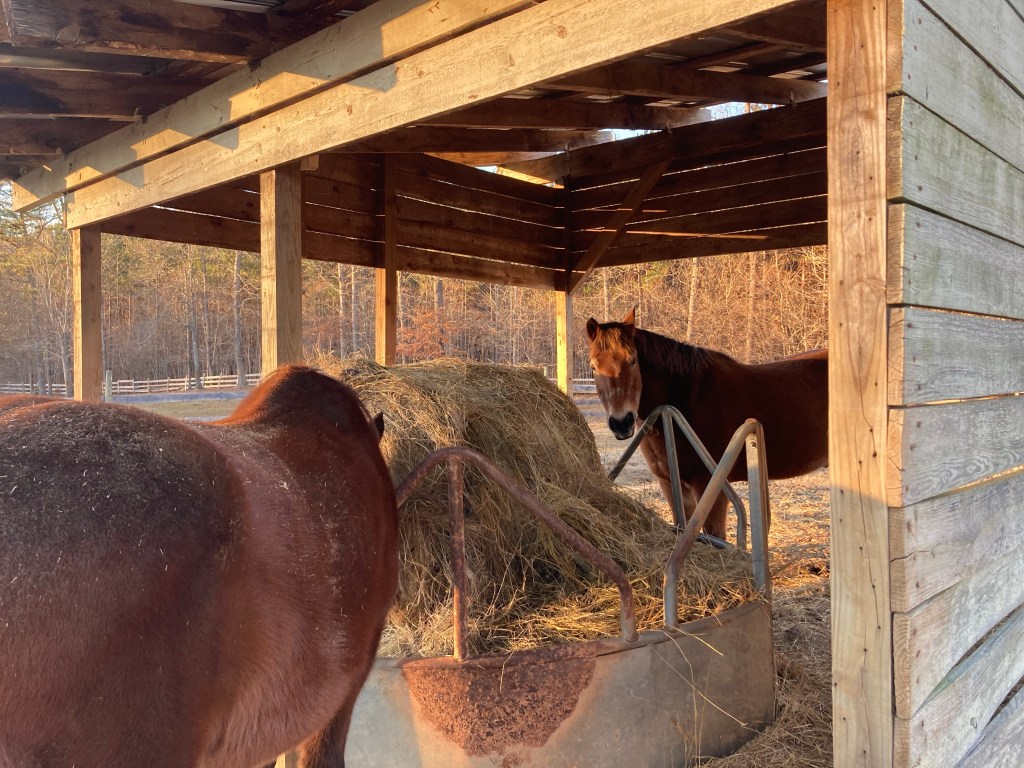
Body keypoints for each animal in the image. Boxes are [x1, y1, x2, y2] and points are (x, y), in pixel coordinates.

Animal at [586, 308, 828, 539]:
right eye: (594, 367)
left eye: (633, 360)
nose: (621, 422)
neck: (688, 399)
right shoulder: (670, 484)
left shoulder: (710, 486)